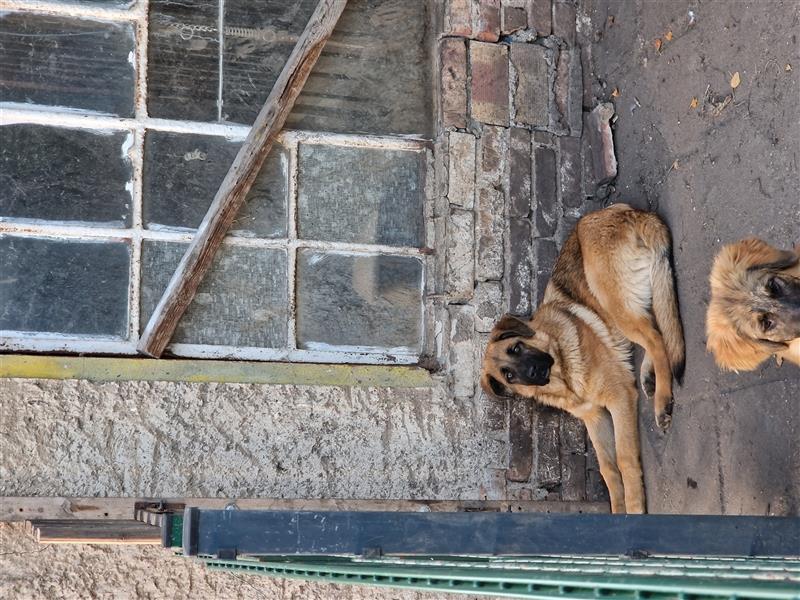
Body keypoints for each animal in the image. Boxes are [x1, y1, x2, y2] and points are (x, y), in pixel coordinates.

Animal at [478, 204, 684, 512]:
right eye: (509, 376)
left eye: (515, 348)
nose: (535, 371)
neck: (563, 375)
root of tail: (628, 211)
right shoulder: (595, 416)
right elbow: (608, 470)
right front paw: (619, 508)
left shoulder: (619, 398)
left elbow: (623, 459)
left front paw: (634, 508)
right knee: (655, 326)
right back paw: (651, 377)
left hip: (609, 294)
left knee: (656, 339)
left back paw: (662, 399)